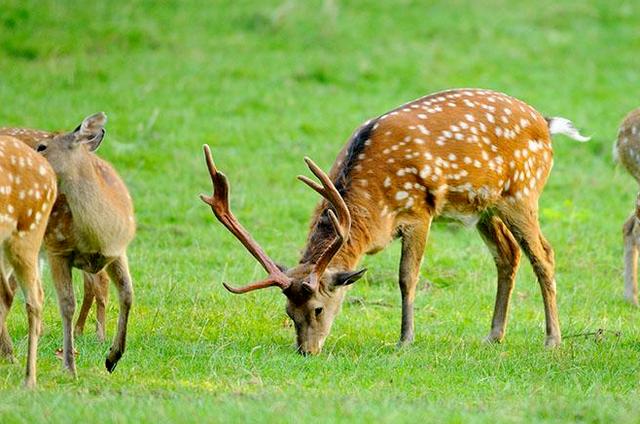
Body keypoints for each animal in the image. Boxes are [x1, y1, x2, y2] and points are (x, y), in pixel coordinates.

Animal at [201, 88, 592, 352]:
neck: (375, 208)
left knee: (543, 254)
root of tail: (546, 123)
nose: (306, 351)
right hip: (484, 206)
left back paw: (552, 339)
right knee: (508, 254)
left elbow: (407, 277)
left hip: (522, 193)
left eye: (317, 309)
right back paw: (494, 335)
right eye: (288, 312)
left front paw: (405, 339)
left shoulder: (419, 213)